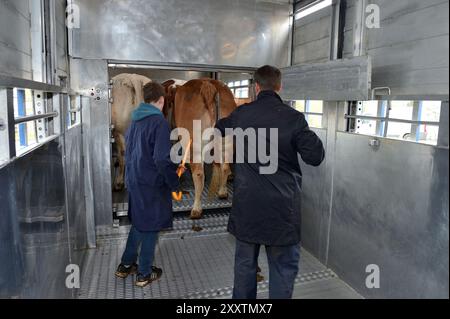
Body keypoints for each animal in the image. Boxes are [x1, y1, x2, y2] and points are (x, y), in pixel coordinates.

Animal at [172, 79, 237, 220]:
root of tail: (208, 83)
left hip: (193, 143)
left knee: (198, 174)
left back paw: (196, 209)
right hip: (227, 140)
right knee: (225, 166)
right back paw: (222, 192)